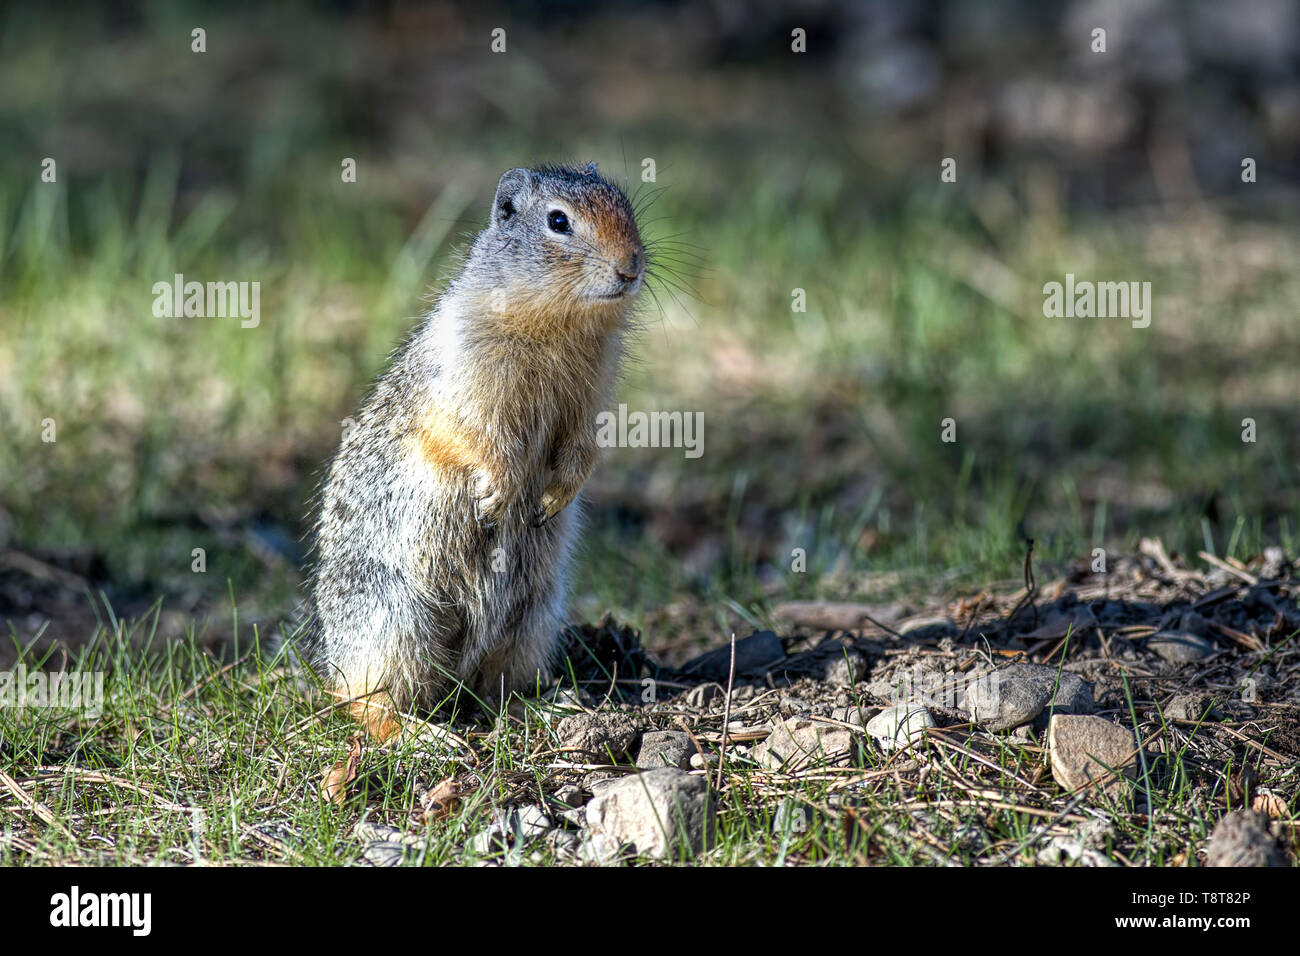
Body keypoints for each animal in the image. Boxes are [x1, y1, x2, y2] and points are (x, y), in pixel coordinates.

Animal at [300, 162, 644, 738]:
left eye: (627, 207)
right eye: (558, 221)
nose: (631, 266)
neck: (557, 324)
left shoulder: (591, 396)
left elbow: (582, 447)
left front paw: (554, 498)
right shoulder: (468, 378)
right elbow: (476, 435)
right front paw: (499, 494)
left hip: (532, 617)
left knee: (494, 688)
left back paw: (546, 706)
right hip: (396, 621)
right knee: (366, 703)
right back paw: (424, 736)